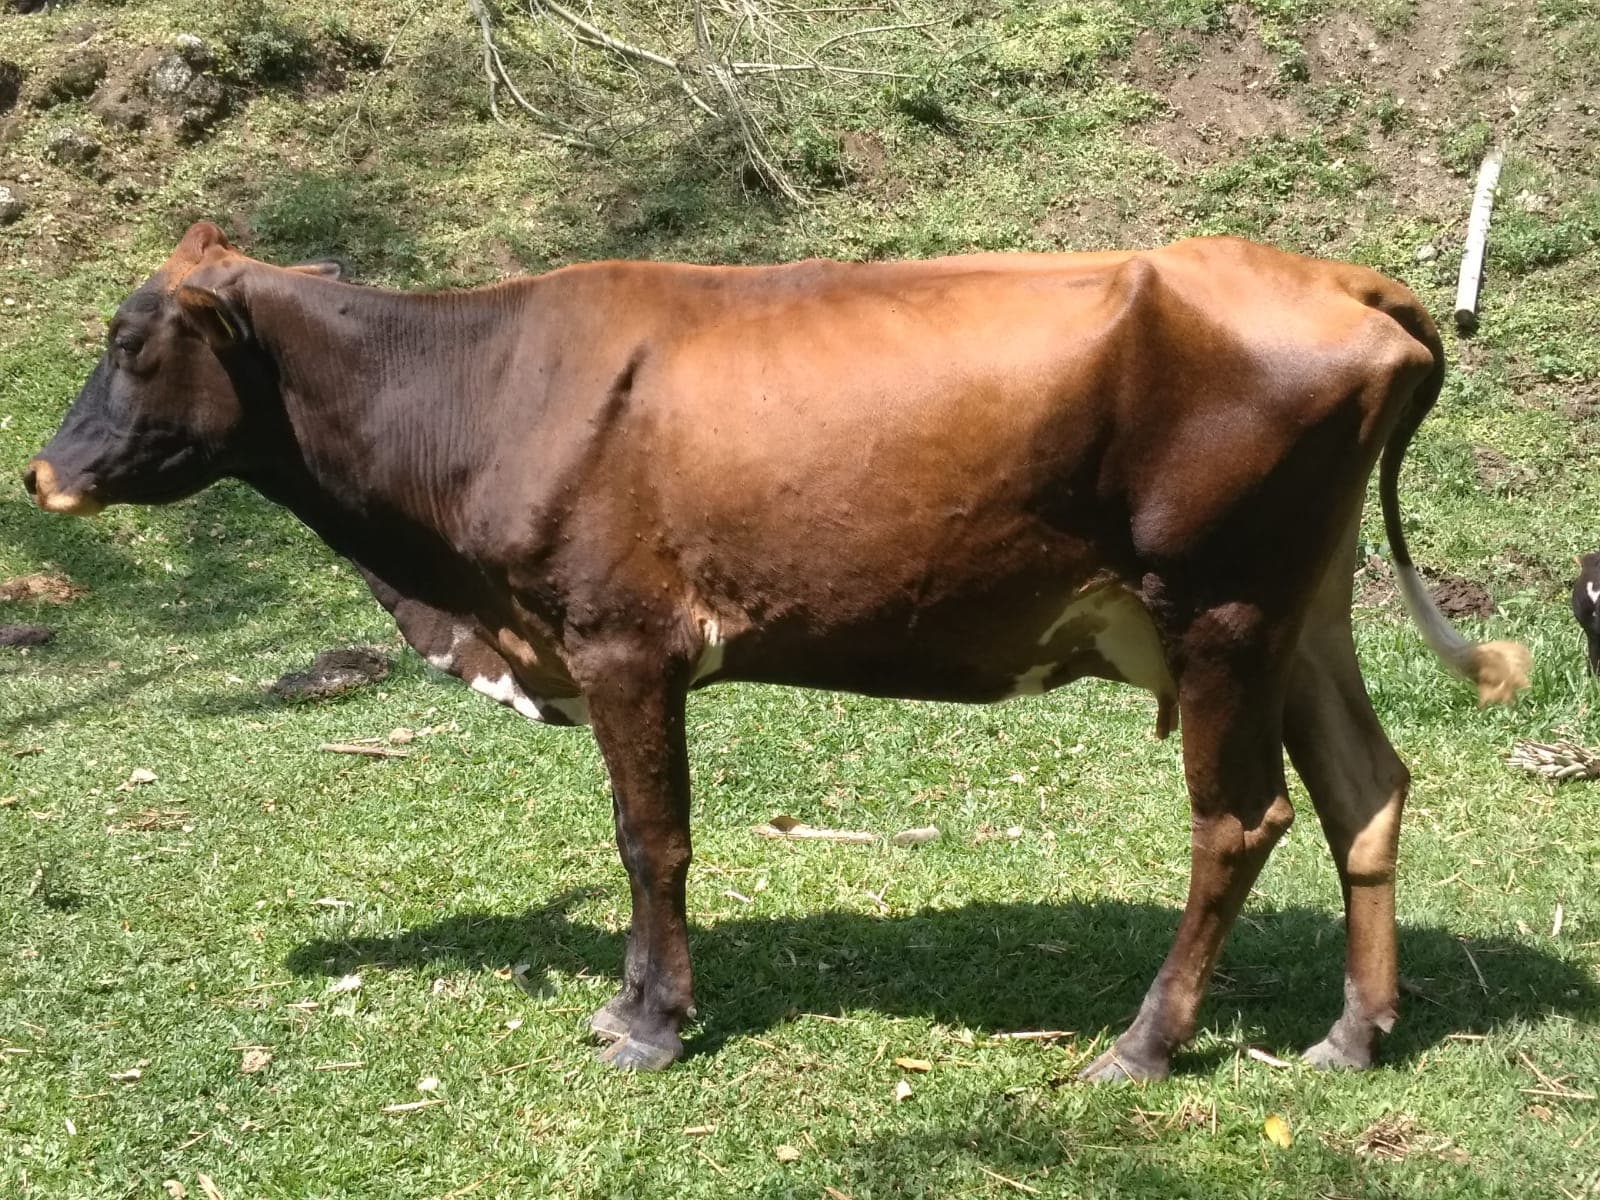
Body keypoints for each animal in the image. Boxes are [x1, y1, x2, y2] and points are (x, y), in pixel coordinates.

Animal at [24, 222, 1530, 1077]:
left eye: (131, 342)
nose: (41, 472)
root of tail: (1339, 282)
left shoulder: (623, 638)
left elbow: (651, 839)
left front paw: (648, 1021)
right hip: (1305, 610)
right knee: (1365, 789)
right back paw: (1352, 1034)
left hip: (1219, 607)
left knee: (1240, 819)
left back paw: (1145, 1046)